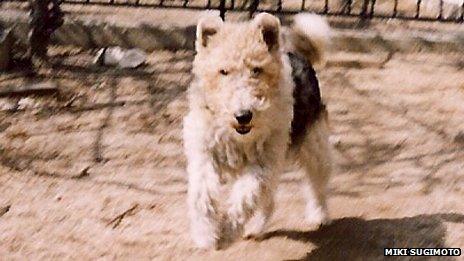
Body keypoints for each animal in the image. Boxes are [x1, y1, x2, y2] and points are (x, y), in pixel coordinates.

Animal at [183, 12, 332, 248]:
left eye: (256, 70)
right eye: (223, 71)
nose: (243, 115)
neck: (236, 137)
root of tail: (296, 54)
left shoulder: (262, 162)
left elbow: (245, 198)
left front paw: (226, 232)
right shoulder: (204, 154)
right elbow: (202, 196)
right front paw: (206, 233)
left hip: (313, 146)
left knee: (316, 183)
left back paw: (319, 215)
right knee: (269, 201)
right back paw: (255, 228)